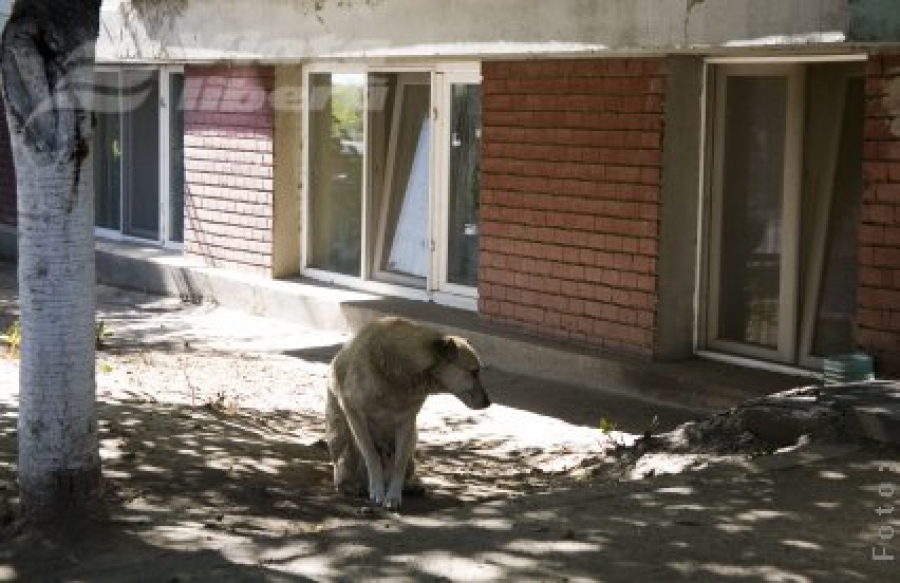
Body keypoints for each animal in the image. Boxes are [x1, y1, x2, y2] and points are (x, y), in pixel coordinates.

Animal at [326, 318, 488, 508]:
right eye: (474, 372)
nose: (488, 402)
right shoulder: (353, 411)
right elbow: (372, 456)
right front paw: (378, 491)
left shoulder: (406, 421)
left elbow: (399, 463)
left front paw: (393, 496)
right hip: (343, 436)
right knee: (344, 468)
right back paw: (352, 486)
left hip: (413, 437)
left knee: (405, 467)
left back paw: (411, 485)